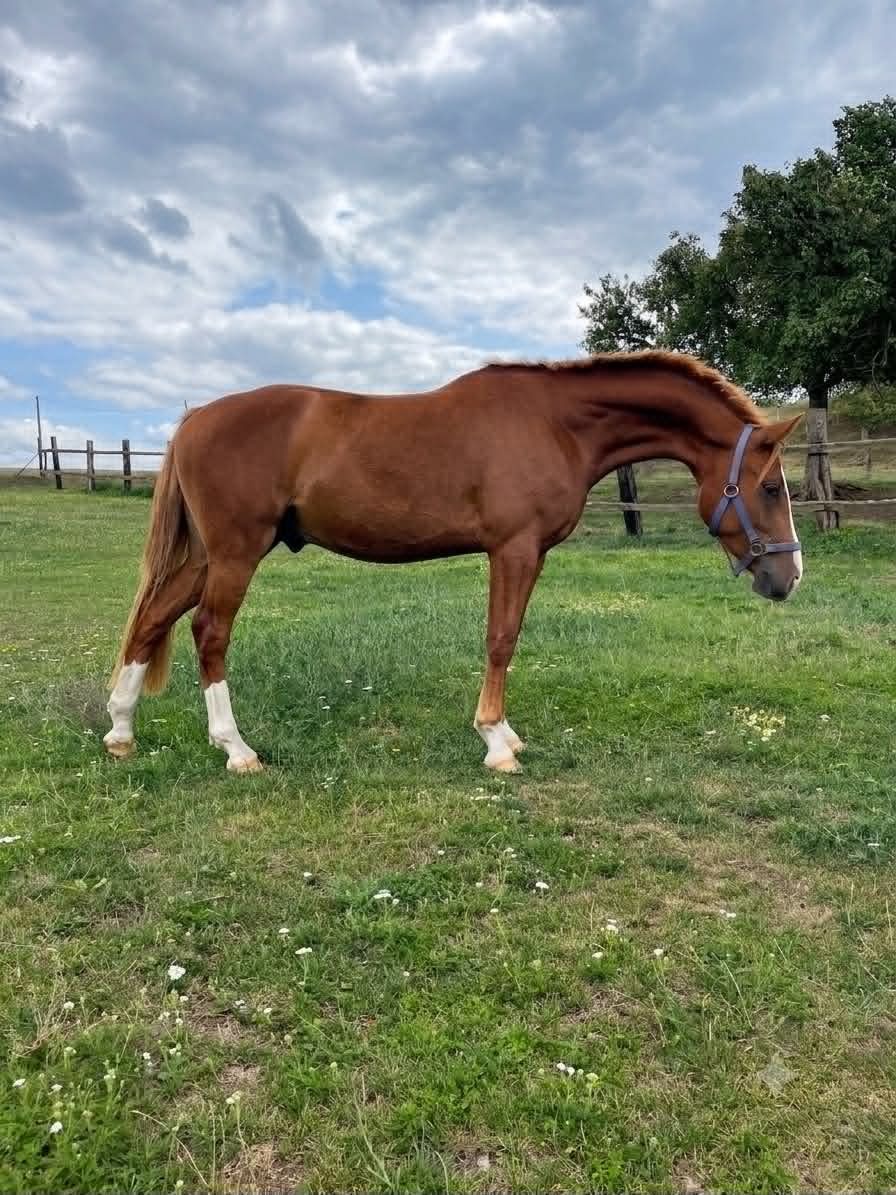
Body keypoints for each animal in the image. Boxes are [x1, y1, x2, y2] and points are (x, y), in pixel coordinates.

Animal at [105, 350, 803, 774]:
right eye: (771, 487)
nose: (788, 577)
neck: (556, 423)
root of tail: (196, 419)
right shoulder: (515, 549)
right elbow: (502, 638)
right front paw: (497, 742)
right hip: (236, 552)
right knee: (209, 632)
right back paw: (236, 748)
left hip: (212, 555)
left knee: (153, 620)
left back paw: (120, 730)